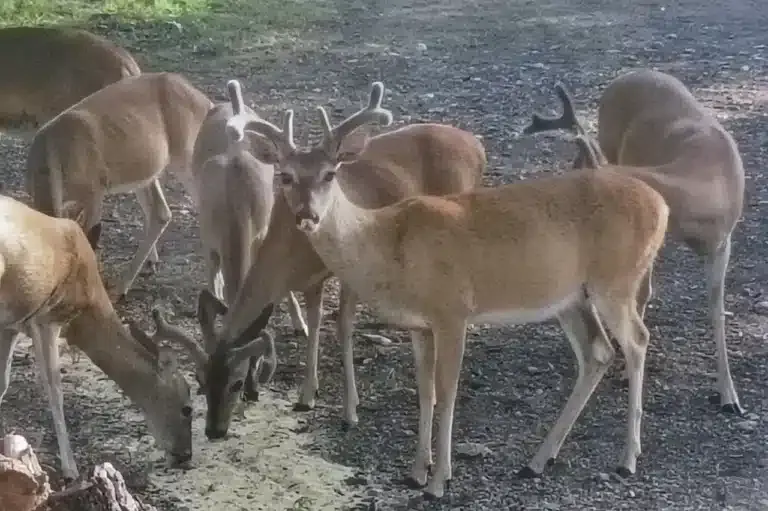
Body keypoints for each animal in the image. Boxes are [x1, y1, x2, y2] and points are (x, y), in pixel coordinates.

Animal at [0, 194, 193, 481]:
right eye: (187, 408)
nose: (185, 456)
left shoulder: (13, 324)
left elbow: (3, 383)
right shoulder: (49, 318)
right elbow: (55, 389)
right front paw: (71, 470)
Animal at [25, 72, 214, 302]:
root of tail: (207, 102)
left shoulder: (94, 191)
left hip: (185, 156)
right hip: (146, 170)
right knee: (161, 212)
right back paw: (143, 269)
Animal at [150, 82, 487, 439]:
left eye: (237, 383)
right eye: (200, 381)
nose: (214, 430)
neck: (292, 252)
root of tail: (477, 144)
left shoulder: (347, 272)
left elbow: (342, 327)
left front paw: (350, 410)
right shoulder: (309, 279)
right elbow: (314, 325)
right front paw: (307, 394)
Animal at [223, 81, 670, 499]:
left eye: (330, 173)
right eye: (285, 176)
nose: (307, 215)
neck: (389, 244)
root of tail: (661, 206)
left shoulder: (453, 309)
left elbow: (448, 391)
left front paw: (439, 481)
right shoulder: (420, 324)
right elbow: (425, 391)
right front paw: (417, 470)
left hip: (616, 280)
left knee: (637, 340)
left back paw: (627, 458)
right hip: (571, 297)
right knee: (598, 351)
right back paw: (538, 460)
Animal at [522, 69, 746, 415]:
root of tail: (629, 74)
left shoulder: (723, 243)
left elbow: (715, 309)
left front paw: (729, 395)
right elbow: (643, 295)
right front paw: (628, 370)